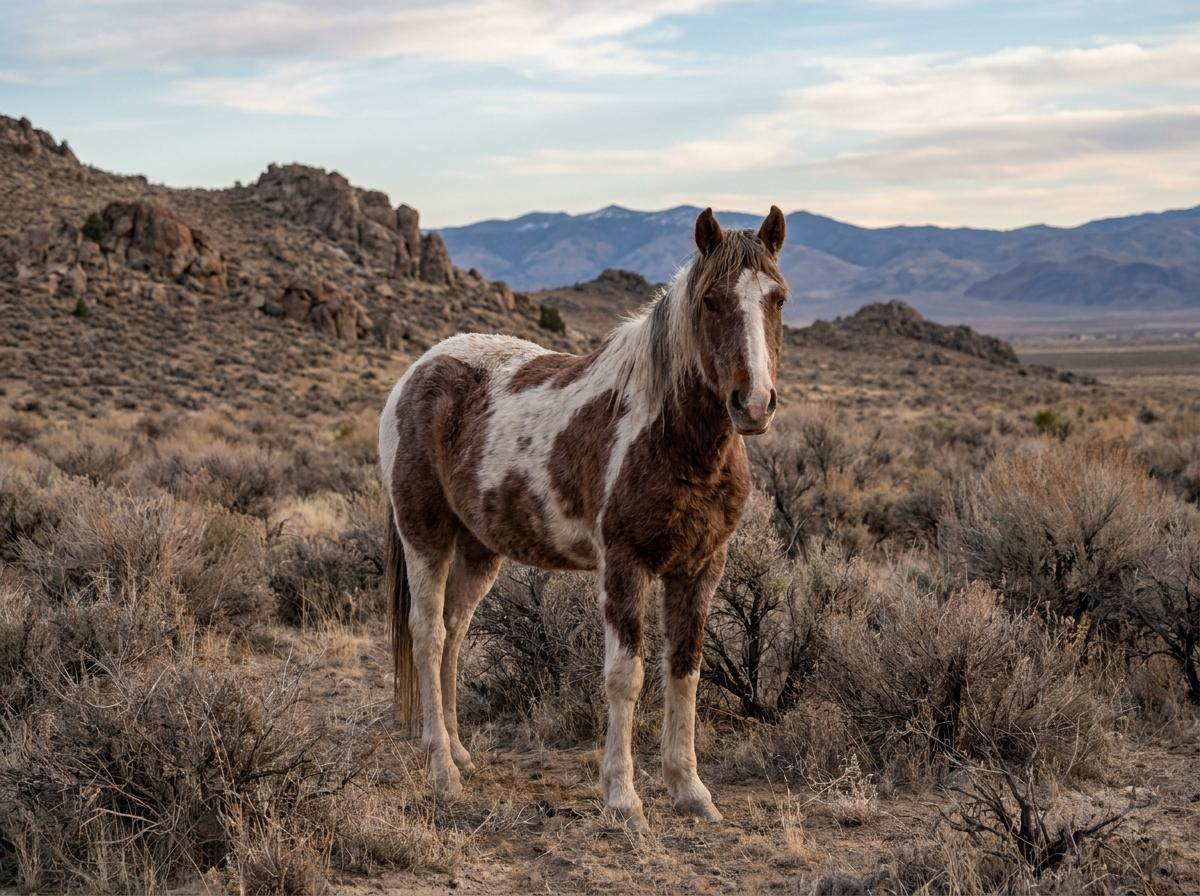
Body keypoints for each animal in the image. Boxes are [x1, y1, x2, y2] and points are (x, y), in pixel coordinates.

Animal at [378, 206, 787, 831]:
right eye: (712, 302)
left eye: (777, 298)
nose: (755, 403)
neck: (671, 435)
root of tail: (416, 373)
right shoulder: (624, 565)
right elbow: (625, 677)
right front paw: (623, 797)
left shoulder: (700, 568)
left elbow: (685, 671)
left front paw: (690, 790)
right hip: (425, 534)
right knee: (428, 636)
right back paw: (442, 771)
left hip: (479, 549)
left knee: (455, 633)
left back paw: (458, 751)